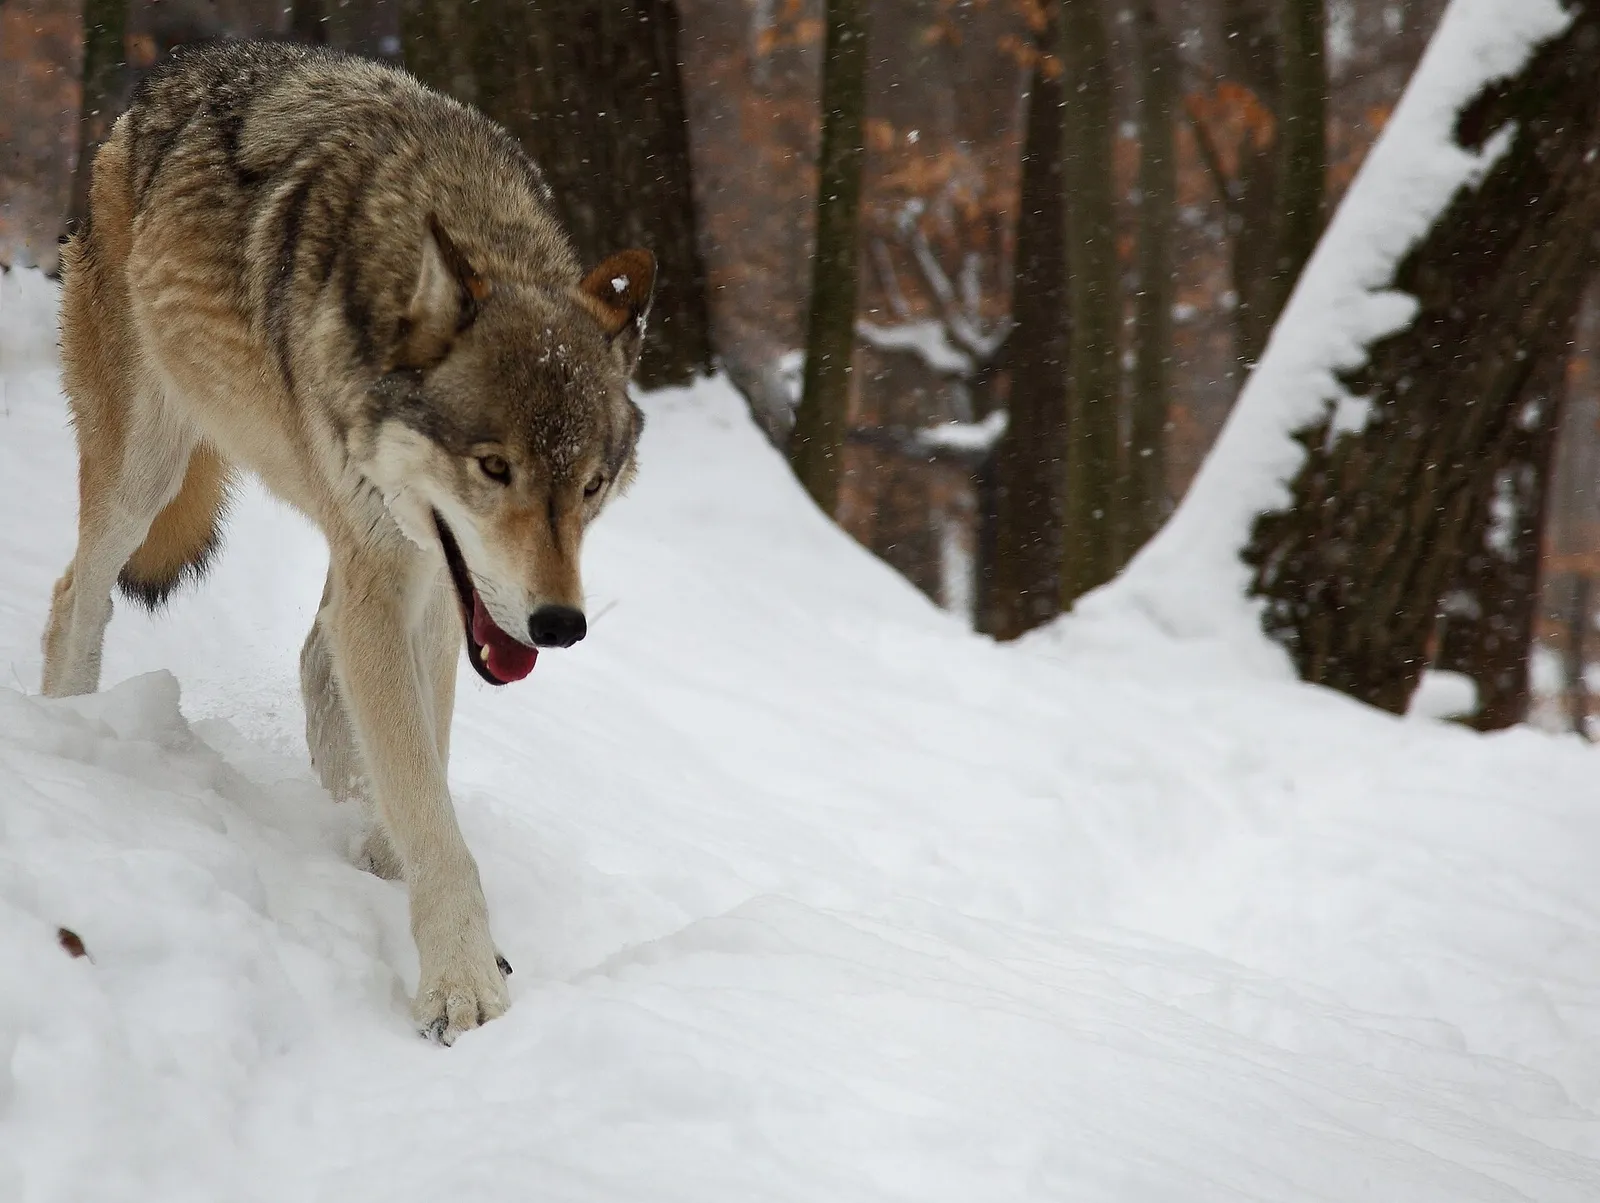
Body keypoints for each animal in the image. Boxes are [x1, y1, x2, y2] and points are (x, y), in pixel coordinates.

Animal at [41, 39, 655, 1044]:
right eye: (494, 467)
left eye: (591, 487)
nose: (559, 624)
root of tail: (164, 80)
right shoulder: (392, 574)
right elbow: (424, 797)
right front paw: (462, 984)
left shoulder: (441, 589)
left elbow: (420, 761)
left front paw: (397, 868)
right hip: (145, 475)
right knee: (75, 597)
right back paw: (68, 731)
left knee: (314, 658)